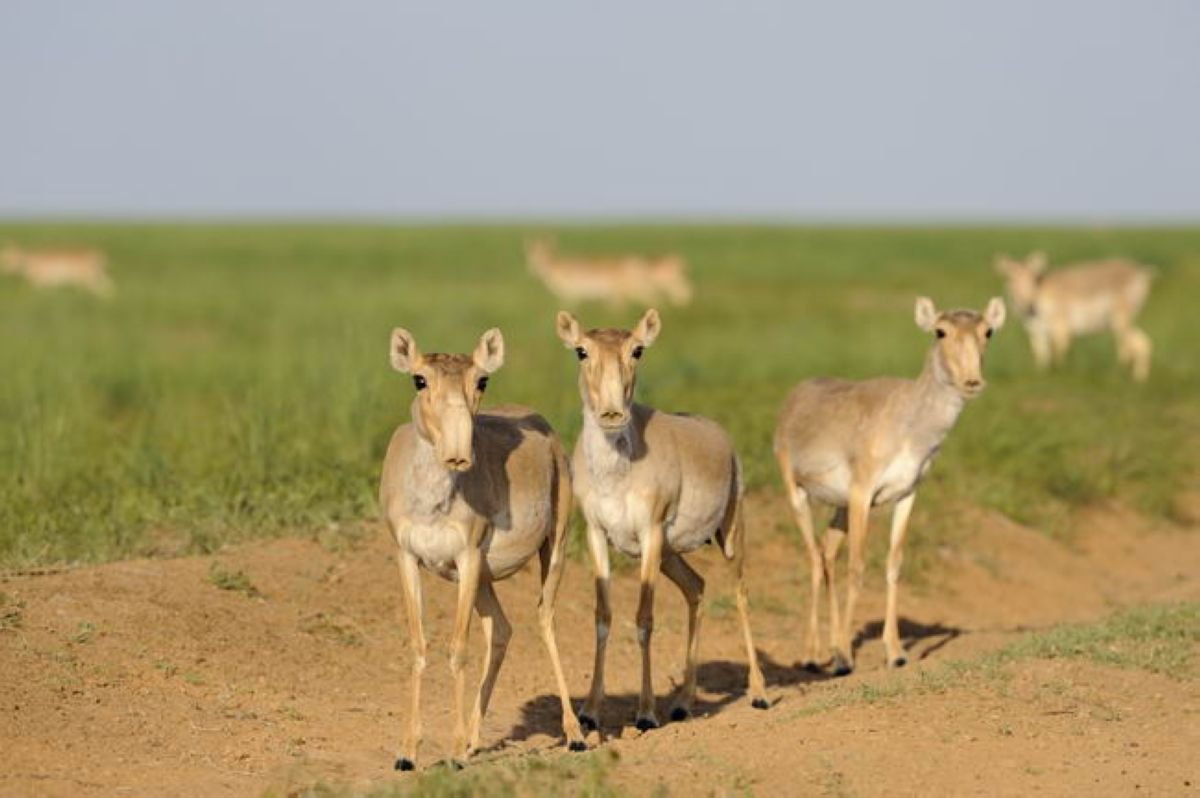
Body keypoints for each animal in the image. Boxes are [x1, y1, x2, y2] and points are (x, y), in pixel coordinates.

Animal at [374, 324, 580, 768]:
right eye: (419, 379)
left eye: (481, 379)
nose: (458, 455)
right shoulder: (408, 558)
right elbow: (419, 646)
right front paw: (407, 752)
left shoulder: (466, 557)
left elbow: (458, 649)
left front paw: (453, 754)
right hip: (485, 578)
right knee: (502, 629)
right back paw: (473, 738)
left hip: (553, 547)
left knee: (545, 619)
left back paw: (575, 734)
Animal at [554, 307, 768, 729]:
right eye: (581, 351)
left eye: (637, 349)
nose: (612, 413)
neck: (616, 473)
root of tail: (719, 434)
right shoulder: (597, 534)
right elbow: (603, 617)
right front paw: (589, 713)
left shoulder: (650, 533)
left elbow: (644, 618)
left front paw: (646, 713)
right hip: (671, 555)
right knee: (697, 587)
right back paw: (683, 702)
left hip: (729, 534)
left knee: (740, 593)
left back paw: (759, 693)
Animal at [772, 297, 1008, 672]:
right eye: (940, 331)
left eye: (988, 331)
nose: (972, 381)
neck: (910, 423)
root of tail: (795, 397)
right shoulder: (862, 493)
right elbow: (857, 567)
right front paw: (844, 657)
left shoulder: (907, 495)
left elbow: (894, 565)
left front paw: (895, 653)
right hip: (797, 492)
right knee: (813, 557)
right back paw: (812, 655)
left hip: (839, 508)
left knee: (827, 552)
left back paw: (829, 647)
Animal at [993, 252, 1152, 384]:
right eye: (1010, 279)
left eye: (1033, 279)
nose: (1028, 305)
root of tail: (1141, 272)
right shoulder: (1036, 331)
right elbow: (1041, 353)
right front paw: (1042, 374)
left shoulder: (1061, 326)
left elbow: (1059, 350)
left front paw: (1059, 373)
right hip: (1119, 322)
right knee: (1142, 343)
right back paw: (1139, 379)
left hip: (1120, 318)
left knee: (1127, 346)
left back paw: (1117, 373)